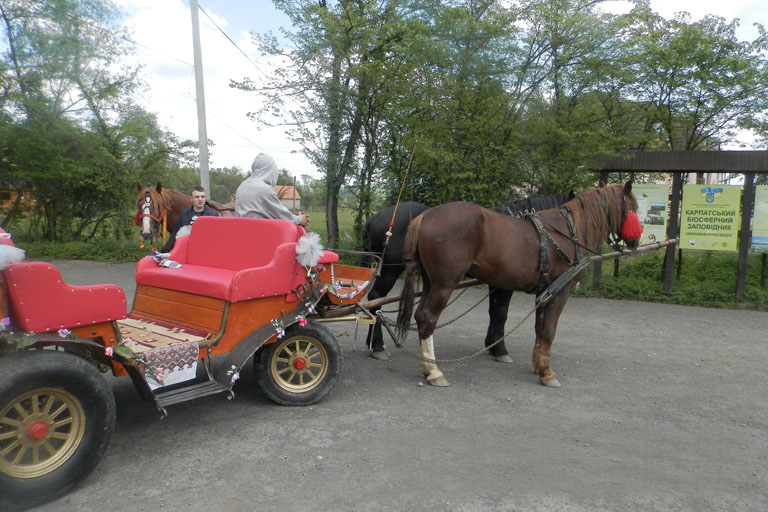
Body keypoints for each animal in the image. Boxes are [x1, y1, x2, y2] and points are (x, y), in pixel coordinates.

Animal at [396, 184, 640, 388]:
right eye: (634, 207)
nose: (636, 242)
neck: (566, 230)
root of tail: (424, 216)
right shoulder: (559, 291)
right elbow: (548, 329)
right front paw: (547, 373)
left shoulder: (544, 291)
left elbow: (539, 328)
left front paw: (539, 365)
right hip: (444, 284)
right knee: (427, 318)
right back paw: (434, 371)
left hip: (431, 282)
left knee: (421, 316)